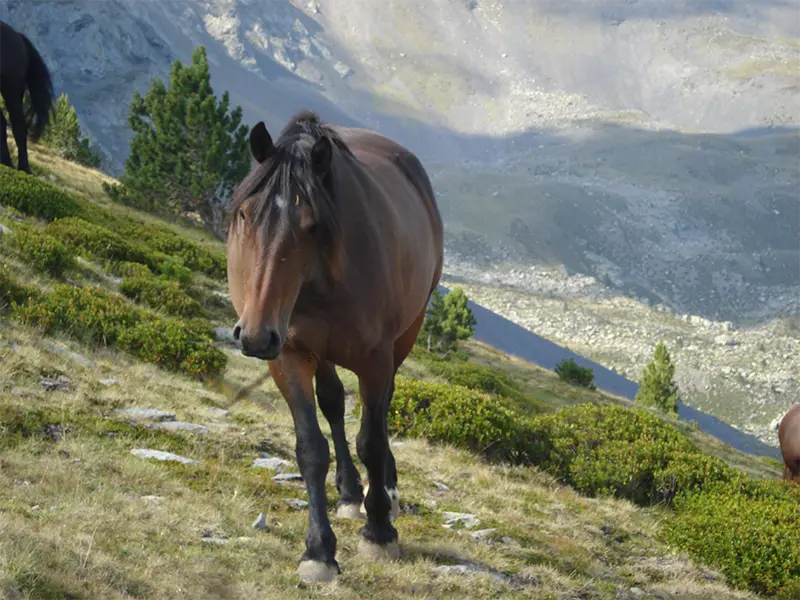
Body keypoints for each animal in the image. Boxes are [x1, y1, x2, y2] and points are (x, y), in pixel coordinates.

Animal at [227, 110, 444, 580]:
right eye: (246, 215)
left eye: (311, 225)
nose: (255, 335)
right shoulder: (289, 355)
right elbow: (311, 448)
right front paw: (318, 551)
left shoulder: (376, 360)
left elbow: (372, 441)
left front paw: (379, 532)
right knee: (332, 403)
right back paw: (347, 493)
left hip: (406, 336)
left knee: (377, 417)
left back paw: (385, 492)